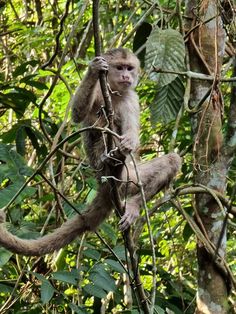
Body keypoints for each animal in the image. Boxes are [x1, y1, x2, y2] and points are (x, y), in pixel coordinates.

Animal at [0, 48, 182, 255]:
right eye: (120, 68)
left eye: (129, 68)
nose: (126, 76)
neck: (114, 93)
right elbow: (79, 115)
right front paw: (93, 70)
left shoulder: (131, 98)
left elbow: (132, 135)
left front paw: (128, 143)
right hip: (118, 178)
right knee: (104, 127)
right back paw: (108, 159)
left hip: (132, 179)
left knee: (171, 161)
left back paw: (133, 204)